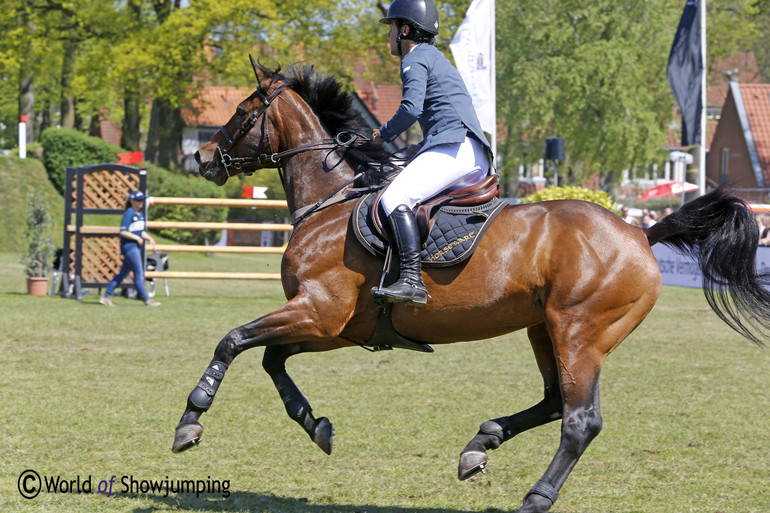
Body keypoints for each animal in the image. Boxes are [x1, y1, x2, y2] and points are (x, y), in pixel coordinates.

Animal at [174, 58, 768, 510]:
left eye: (243, 111)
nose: (200, 157)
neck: (332, 202)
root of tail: (642, 232)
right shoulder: (335, 326)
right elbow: (272, 358)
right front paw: (314, 424)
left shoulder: (317, 311)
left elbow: (232, 340)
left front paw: (190, 420)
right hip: (544, 329)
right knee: (554, 402)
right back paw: (480, 443)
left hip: (580, 332)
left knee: (580, 420)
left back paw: (535, 496)